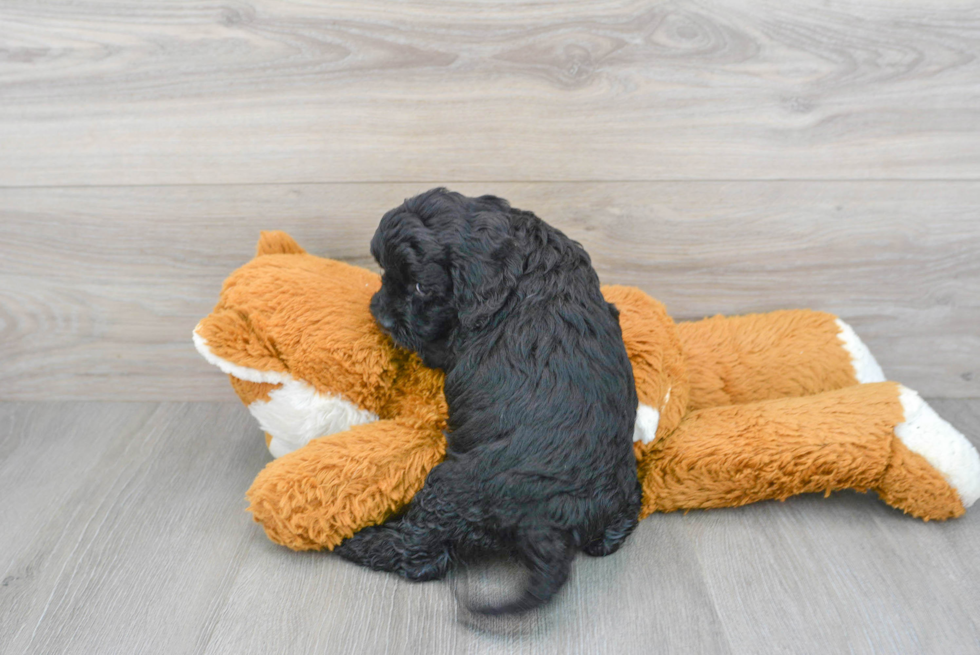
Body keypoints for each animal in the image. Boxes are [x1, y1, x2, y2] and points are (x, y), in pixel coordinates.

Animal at [336, 188, 644, 616]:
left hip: (452, 487)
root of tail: (554, 524)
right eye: (385, 270)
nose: (381, 316)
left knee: (422, 555)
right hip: (624, 488)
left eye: (420, 288)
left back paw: (360, 542)